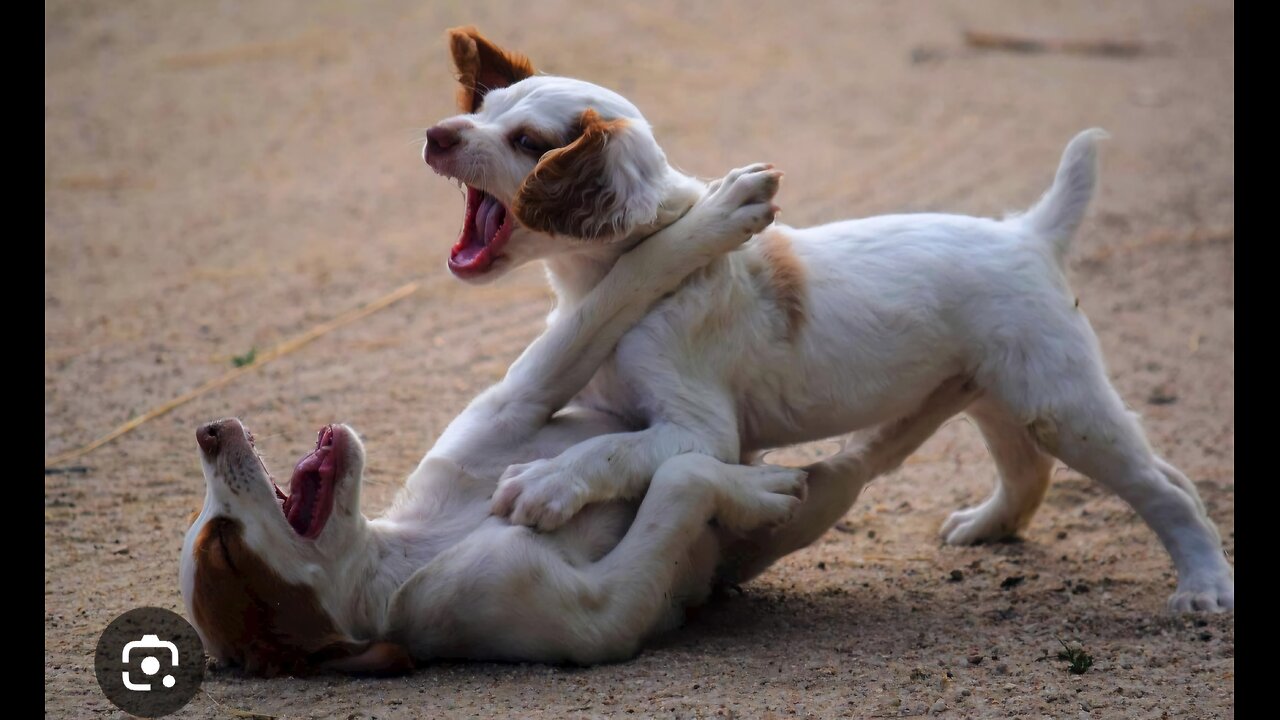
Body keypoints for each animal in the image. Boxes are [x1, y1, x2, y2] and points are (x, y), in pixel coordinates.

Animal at [424, 28, 1233, 609]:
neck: (627, 279)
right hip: (999, 391)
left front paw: (546, 483)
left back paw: (1203, 585)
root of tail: (1029, 233)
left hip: (1056, 401)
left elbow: (611, 453)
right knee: (1039, 469)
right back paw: (989, 527)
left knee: (1160, 487)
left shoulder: (701, 432)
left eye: (527, 142)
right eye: (481, 112)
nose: (437, 133)